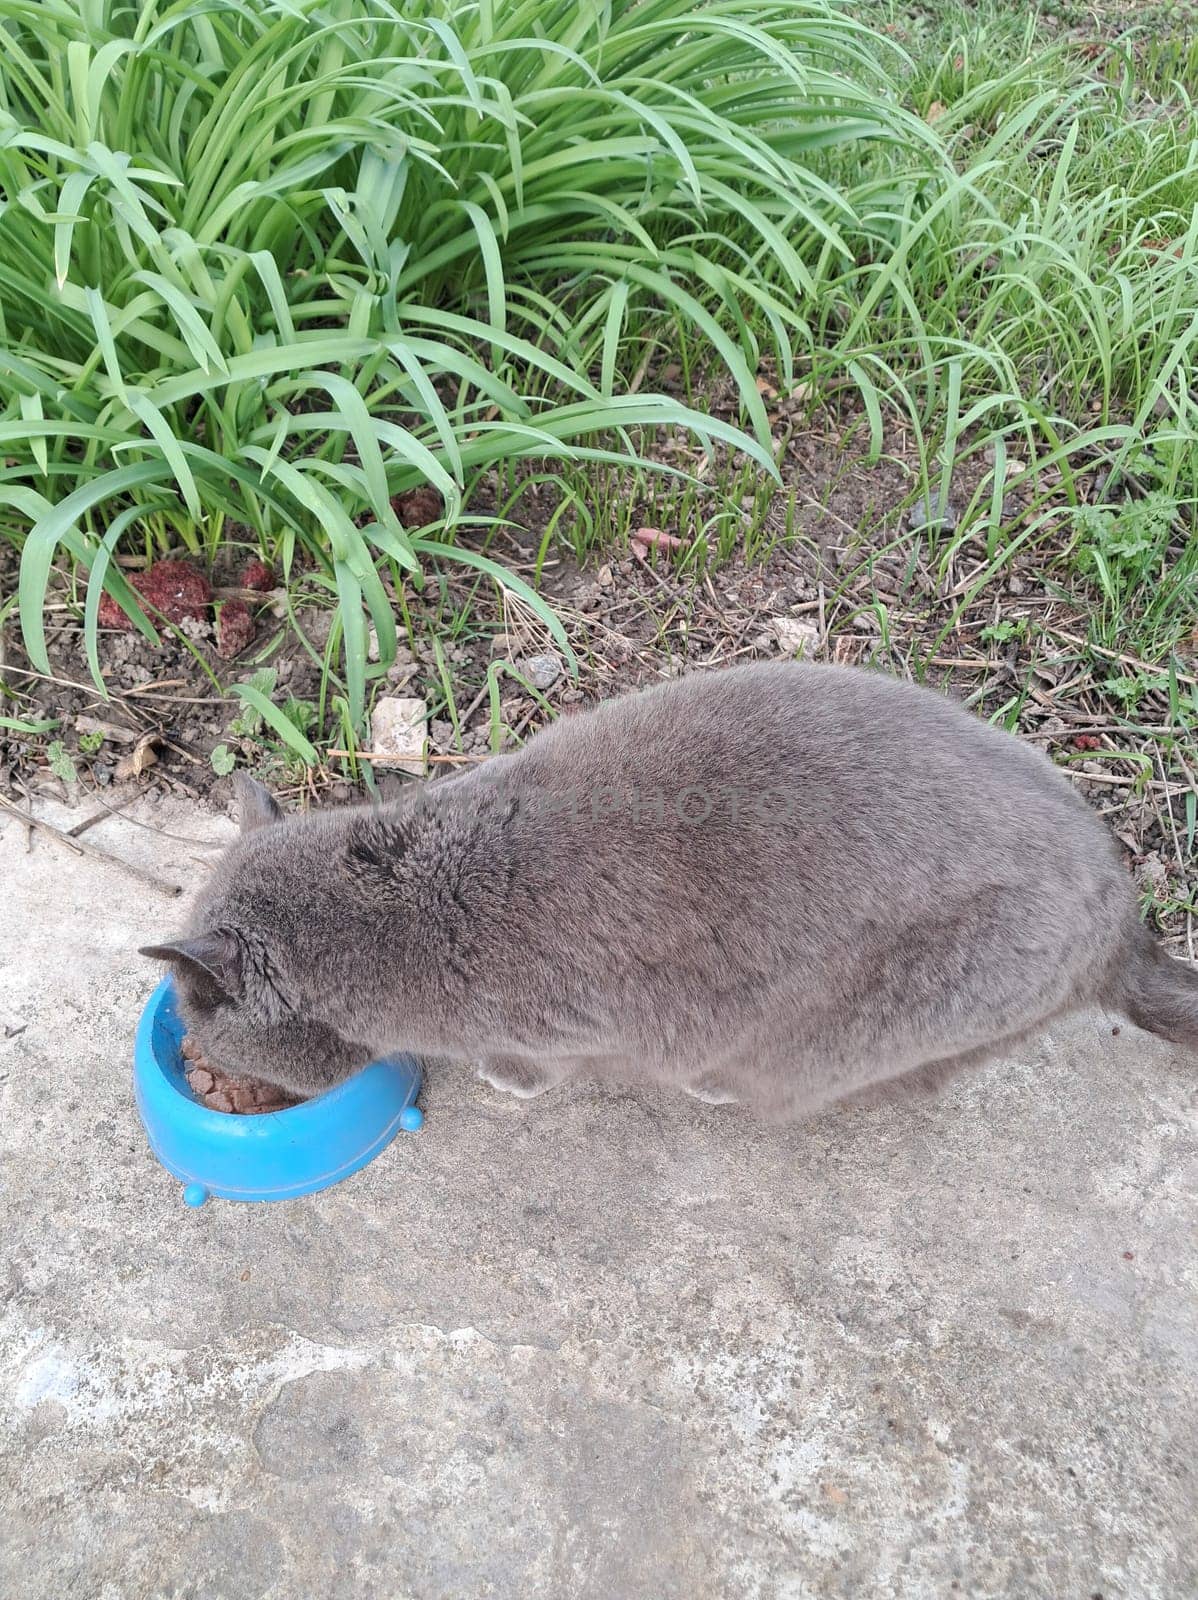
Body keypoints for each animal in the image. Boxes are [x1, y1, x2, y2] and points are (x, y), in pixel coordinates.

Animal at [142, 656, 1196, 1120]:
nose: (206, 1065)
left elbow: (531, 1064)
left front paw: (506, 1081)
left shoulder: (560, 1027)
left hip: (896, 1012)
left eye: (203, 1028)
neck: (386, 908)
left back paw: (720, 1087)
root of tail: (1125, 917)